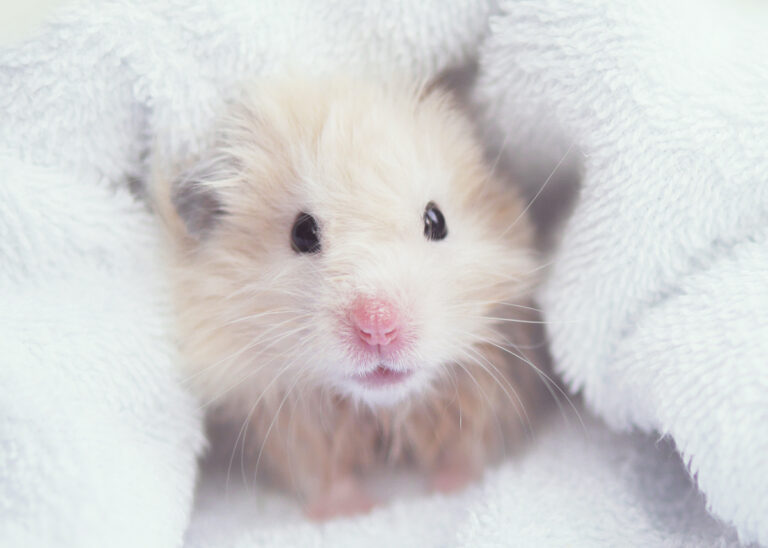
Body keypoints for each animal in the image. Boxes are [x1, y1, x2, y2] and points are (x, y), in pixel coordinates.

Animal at [153, 76, 549, 519]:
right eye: (302, 233)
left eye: (436, 220)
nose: (378, 325)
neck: (378, 408)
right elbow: (319, 472)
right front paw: (357, 510)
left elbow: (469, 446)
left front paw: (452, 489)